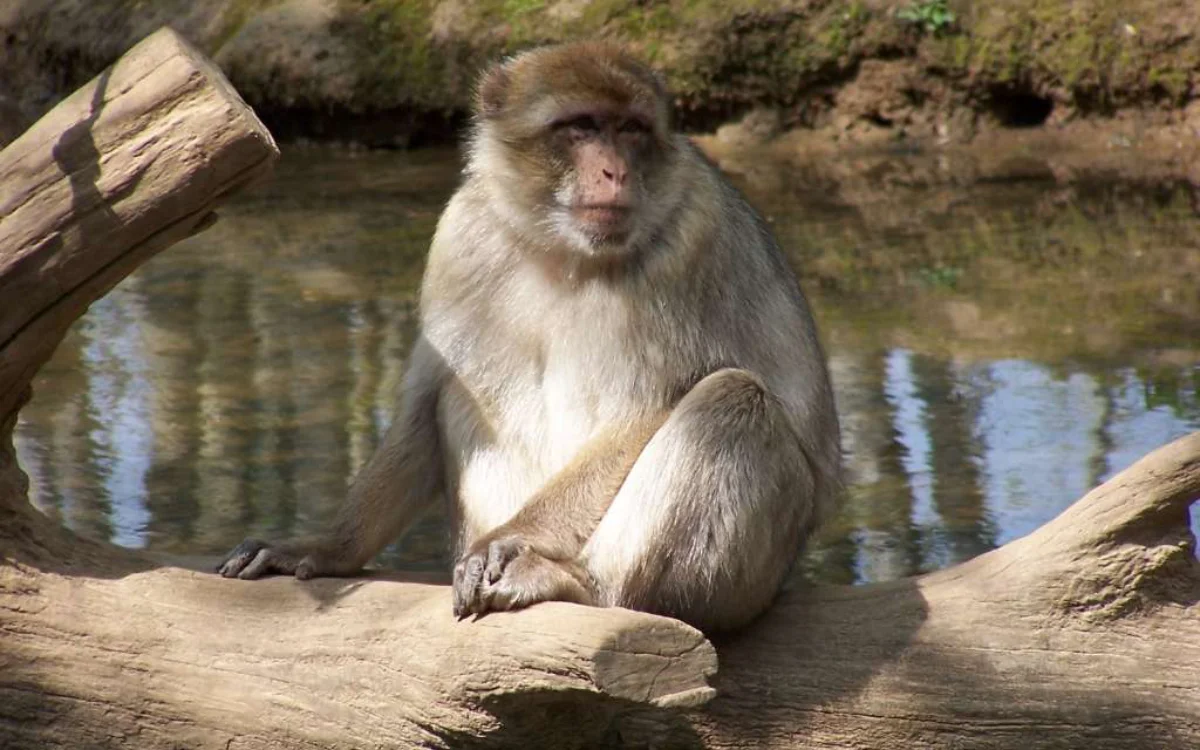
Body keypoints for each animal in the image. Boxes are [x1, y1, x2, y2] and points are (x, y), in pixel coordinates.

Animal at [217, 42, 841, 633]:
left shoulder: (690, 244)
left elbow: (642, 412)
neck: (562, 250)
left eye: (631, 129)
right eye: (581, 126)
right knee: (461, 395)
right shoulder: (460, 237)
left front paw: (511, 538)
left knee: (734, 400)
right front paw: (329, 546)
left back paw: (582, 583)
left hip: (750, 578)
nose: (616, 172)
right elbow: (426, 399)